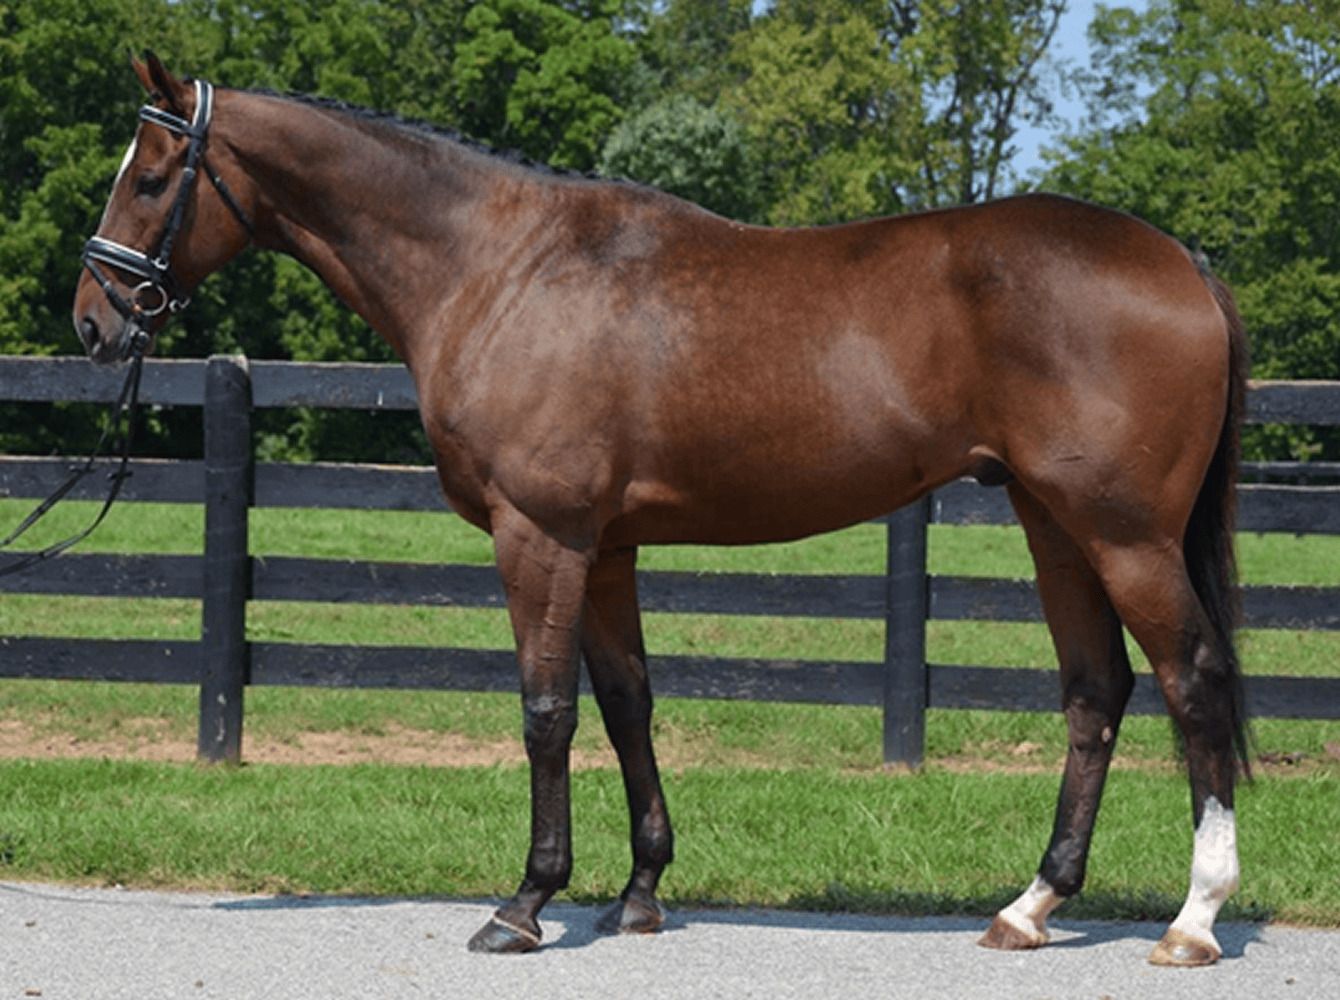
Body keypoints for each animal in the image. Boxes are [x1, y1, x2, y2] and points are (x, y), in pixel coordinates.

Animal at [74, 54, 1250, 966]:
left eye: (154, 176)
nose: (94, 318)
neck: (500, 269)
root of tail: (1180, 259)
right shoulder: (605, 550)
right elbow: (626, 703)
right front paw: (636, 894)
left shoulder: (539, 537)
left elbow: (546, 711)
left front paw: (524, 904)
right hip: (1056, 526)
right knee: (1095, 691)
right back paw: (1030, 905)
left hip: (1122, 532)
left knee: (1191, 680)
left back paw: (1191, 921)